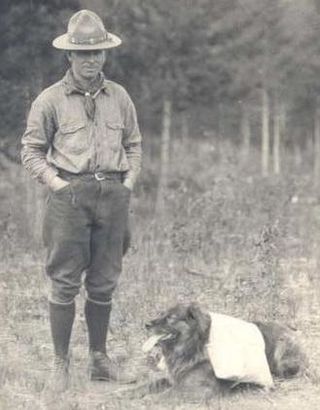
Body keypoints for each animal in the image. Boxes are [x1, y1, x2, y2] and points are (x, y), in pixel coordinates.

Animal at [138, 302, 308, 402]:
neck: (192, 346)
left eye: (171, 318)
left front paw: (146, 401)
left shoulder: (198, 389)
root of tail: (290, 328)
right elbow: (149, 384)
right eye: (160, 314)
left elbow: (167, 394)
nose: (146, 324)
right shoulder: (176, 377)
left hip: (282, 354)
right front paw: (133, 390)